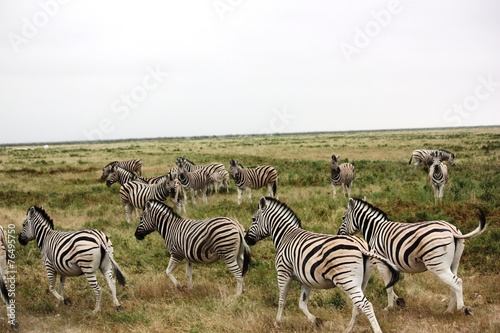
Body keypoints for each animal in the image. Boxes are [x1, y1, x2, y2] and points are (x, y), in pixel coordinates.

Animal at [242, 196, 398, 330]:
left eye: (253, 219)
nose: (246, 239)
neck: (286, 236)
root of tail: (361, 246)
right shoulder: (305, 279)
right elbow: (302, 303)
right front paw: (317, 321)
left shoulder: (283, 273)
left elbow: (282, 300)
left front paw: (277, 323)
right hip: (362, 280)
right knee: (358, 306)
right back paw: (348, 329)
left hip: (347, 280)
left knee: (366, 305)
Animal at [338, 198, 486, 316]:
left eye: (343, 218)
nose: (339, 235)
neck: (375, 231)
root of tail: (452, 230)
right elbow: (391, 284)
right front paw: (399, 301)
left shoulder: (381, 263)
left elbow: (388, 285)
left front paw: (389, 307)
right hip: (453, 264)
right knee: (453, 285)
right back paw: (449, 310)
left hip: (438, 265)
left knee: (457, 282)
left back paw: (462, 308)